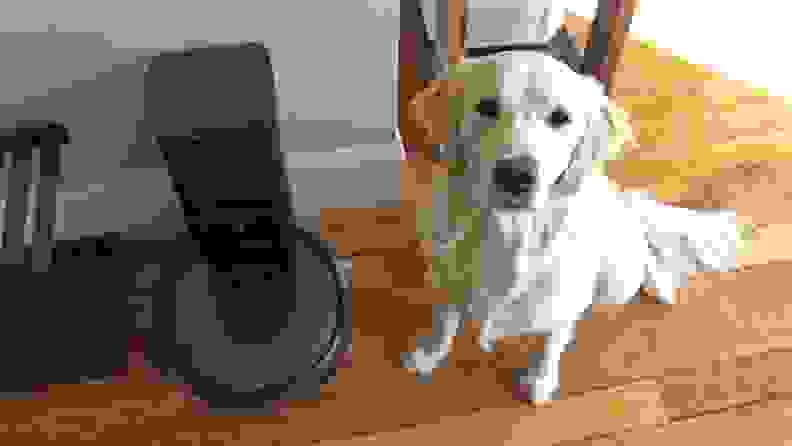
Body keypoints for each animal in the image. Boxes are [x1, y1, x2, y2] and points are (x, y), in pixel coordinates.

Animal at [402, 48, 748, 404]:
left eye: (560, 118)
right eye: (486, 107)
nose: (517, 176)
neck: (511, 232)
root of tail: (619, 200)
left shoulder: (563, 305)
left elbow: (552, 344)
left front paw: (541, 382)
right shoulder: (446, 277)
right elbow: (445, 318)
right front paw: (430, 354)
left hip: (617, 278)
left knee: (644, 255)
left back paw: (659, 284)